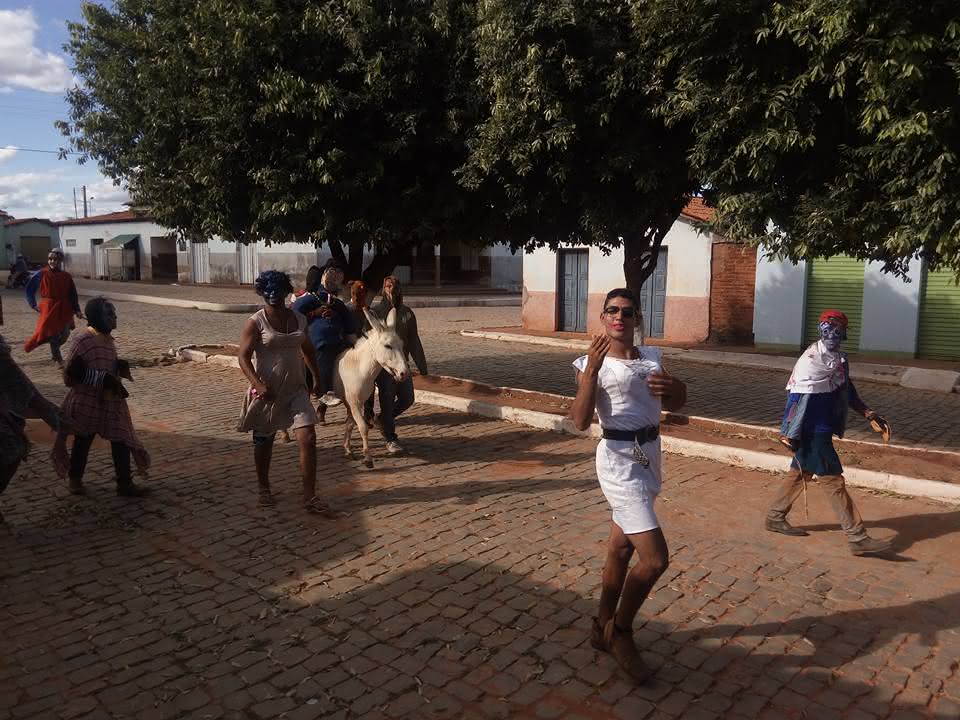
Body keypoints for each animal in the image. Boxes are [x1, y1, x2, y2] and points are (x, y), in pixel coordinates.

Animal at [333, 307, 408, 468]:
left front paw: (347, 449)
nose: (404, 373)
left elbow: (350, 424)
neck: (359, 368)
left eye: (402, 344)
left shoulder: (354, 403)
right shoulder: (354, 403)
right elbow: (362, 427)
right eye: (388, 346)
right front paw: (367, 457)